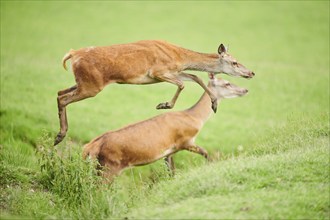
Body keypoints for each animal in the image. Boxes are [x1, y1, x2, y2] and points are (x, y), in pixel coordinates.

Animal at [55, 40, 254, 145]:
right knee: (63, 98)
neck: (180, 57)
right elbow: (183, 84)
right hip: (92, 85)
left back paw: (58, 136)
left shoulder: (173, 71)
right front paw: (164, 105)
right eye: (234, 62)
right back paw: (60, 135)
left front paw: (214, 103)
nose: (251, 72)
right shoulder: (158, 72)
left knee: (59, 93)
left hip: (84, 82)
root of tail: (73, 54)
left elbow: (195, 77)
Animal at [82, 74, 248, 180]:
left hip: (99, 166)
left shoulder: (169, 151)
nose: (245, 90)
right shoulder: (185, 140)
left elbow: (171, 171)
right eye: (227, 83)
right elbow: (207, 153)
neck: (195, 118)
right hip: (110, 166)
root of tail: (89, 147)